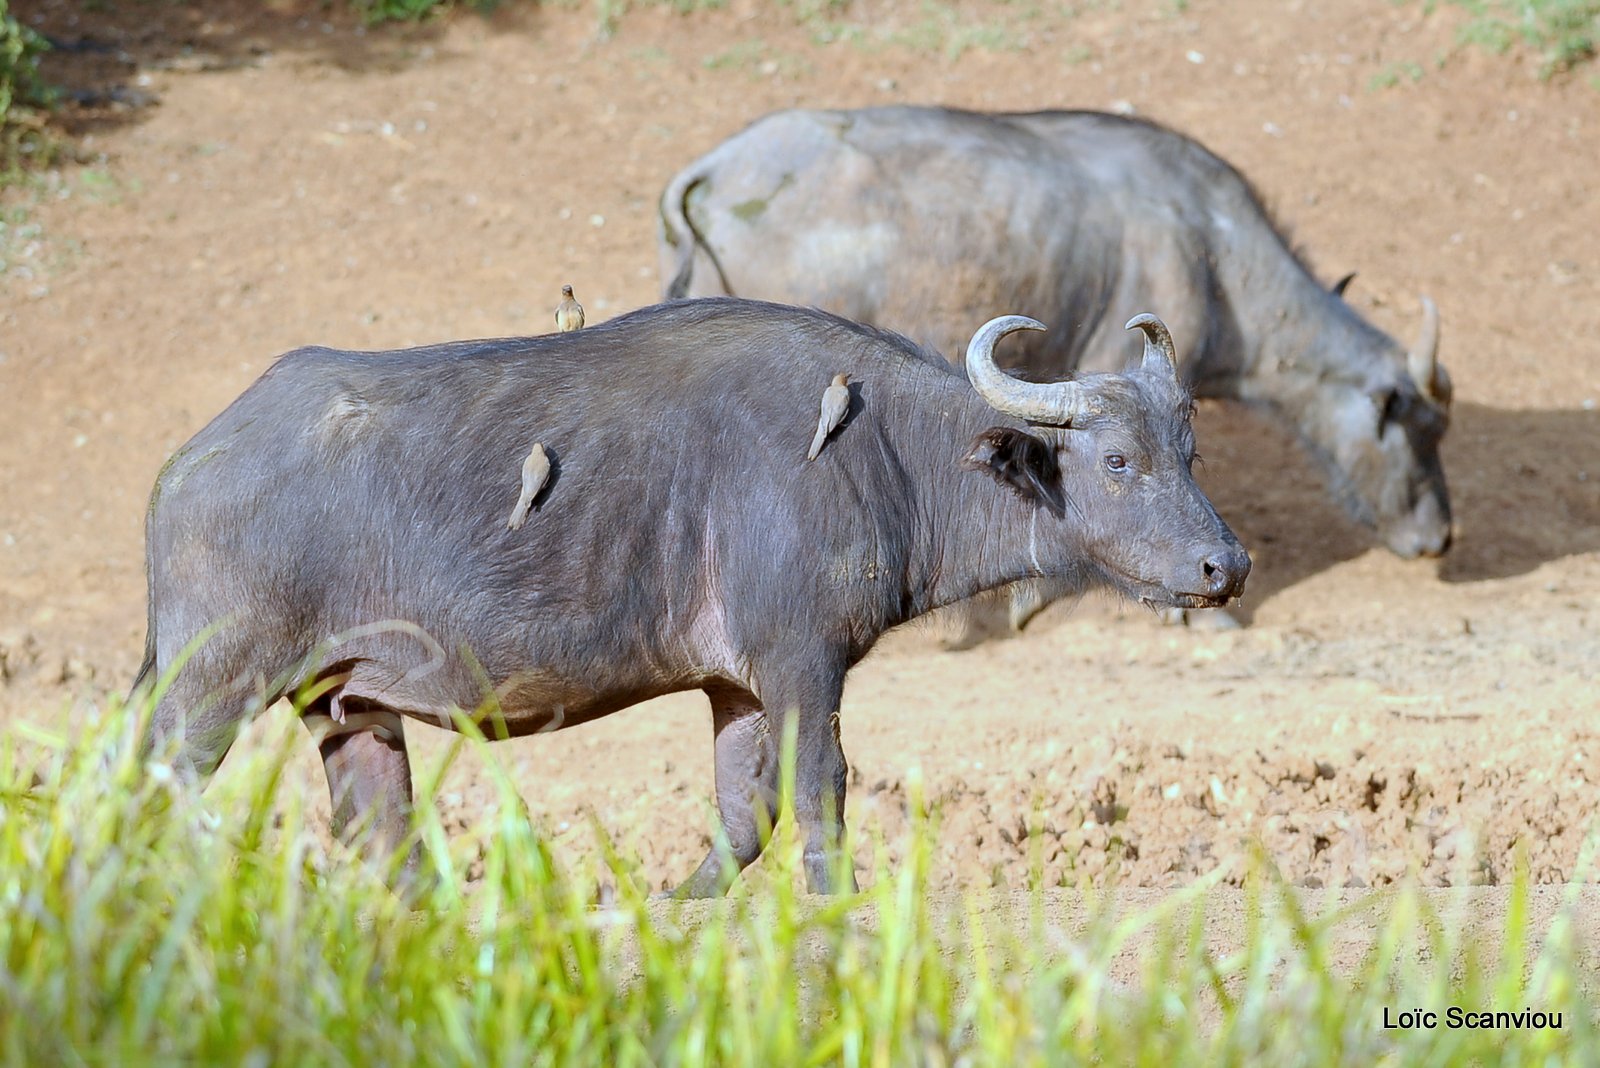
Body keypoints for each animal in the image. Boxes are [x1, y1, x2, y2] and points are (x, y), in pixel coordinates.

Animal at [134, 295, 1248, 895]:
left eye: (1189, 452)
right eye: (1117, 460)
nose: (1223, 568)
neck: (886, 450)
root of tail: (188, 464)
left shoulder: (738, 687)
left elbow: (744, 814)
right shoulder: (803, 660)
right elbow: (821, 791)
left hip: (348, 705)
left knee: (379, 828)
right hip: (211, 684)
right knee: (150, 784)